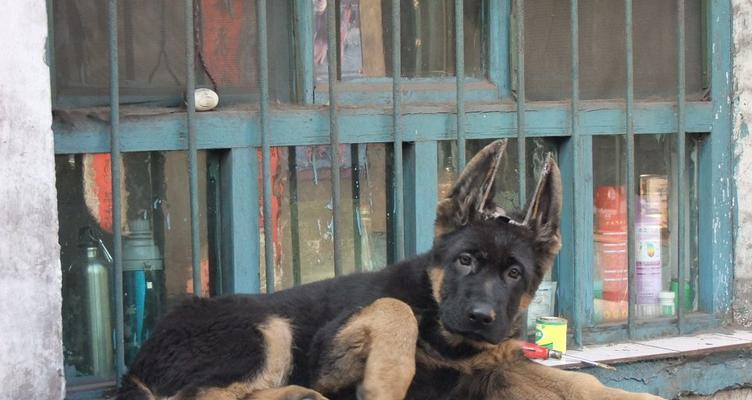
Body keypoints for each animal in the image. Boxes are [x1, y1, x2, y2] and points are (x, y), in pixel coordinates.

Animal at [114, 139, 660, 398]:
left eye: (514, 274)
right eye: (465, 260)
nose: (481, 317)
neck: (445, 330)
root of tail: (142, 353)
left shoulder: (492, 371)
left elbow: (580, 383)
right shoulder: (329, 352)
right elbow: (393, 308)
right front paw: (386, 383)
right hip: (265, 329)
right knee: (197, 396)